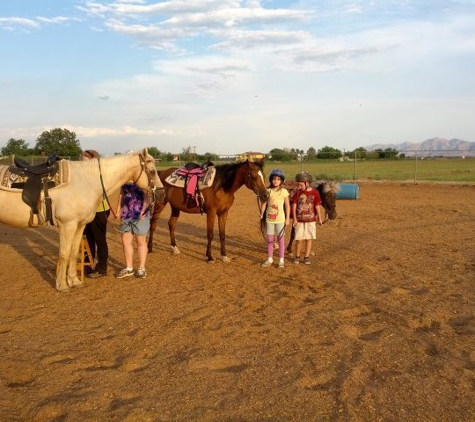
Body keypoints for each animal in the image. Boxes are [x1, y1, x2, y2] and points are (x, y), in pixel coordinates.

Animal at [0, 148, 164, 290]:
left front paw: (74, 281)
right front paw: (62, 285)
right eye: (152, 171)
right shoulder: (68, 225)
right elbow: (64, 254)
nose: (162, 194)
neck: (85, 182)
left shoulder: (79, 225)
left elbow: (74, 253)